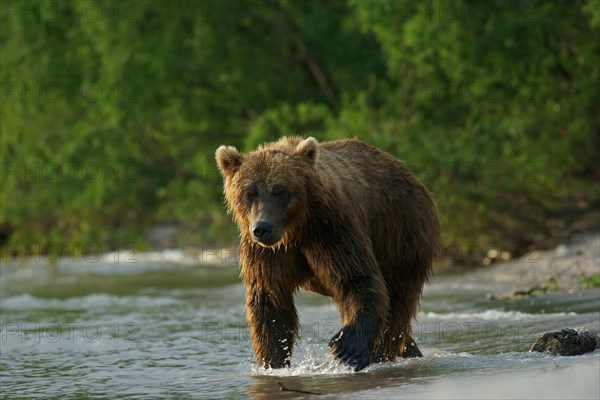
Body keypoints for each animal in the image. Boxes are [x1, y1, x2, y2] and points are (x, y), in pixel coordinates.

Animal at [216, 138, 440, 372]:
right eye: (249, 193)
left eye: (281, 191)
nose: (262, 228)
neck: (296, 229)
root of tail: (412, 176)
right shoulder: (265, 253)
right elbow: (270, 298)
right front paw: (274, 361)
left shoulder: (330, 229)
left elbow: (357, 278)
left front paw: (347, 347)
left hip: (403, 234)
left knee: (397, 300)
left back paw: (381, 354)